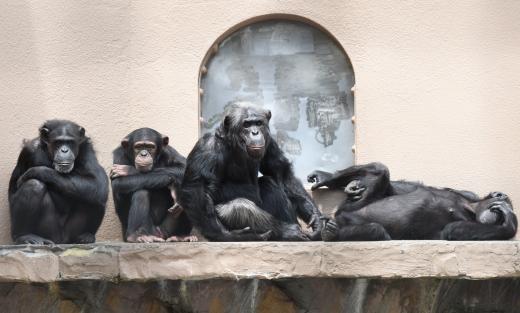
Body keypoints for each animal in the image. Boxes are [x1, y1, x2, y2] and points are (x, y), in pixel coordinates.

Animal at [181, 103, 322, 240]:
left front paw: (316, 219)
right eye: (246, 125)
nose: (255, 132)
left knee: (269, 183)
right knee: (238, 208)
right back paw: (286, 232)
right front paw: (224, 234)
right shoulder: (207, 147)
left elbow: (281, 172)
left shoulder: (269, 141)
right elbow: (196, 186)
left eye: (258, 123)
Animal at [308, 162, 516, 240]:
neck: (471, 206)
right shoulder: (467, 193)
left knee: (376, 231)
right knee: (380, 169)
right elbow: (407, 188)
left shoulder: (463, 226)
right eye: (499, 209)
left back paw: (330, 233)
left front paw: (509, 224)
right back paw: (326, 178)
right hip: (355, 203)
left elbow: (453, 230)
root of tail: (338, 214)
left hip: (348, 218)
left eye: (500, 215)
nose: (503, 209)